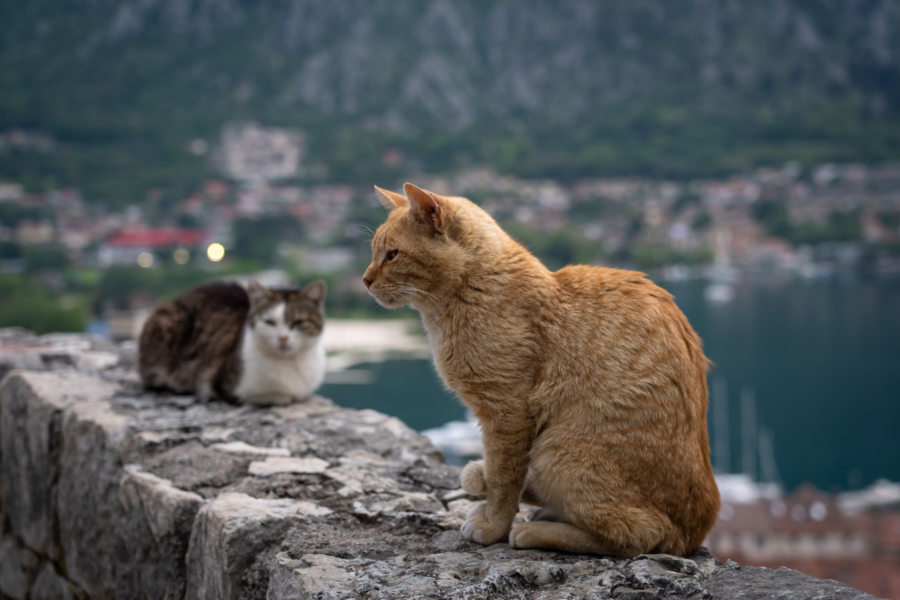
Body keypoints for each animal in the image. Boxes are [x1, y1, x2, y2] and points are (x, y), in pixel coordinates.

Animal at [139, 280, 326, 404]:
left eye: (298, 322)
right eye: (269, 322)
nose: (283, 337)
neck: (291, 364)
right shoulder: (225, 385)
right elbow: (279, 397)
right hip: (167, 320)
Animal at [362, 184, 720, 556]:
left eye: (393, 255)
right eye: (375, 253)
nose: (365, 279)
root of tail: (693, 534)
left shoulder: (506, 412)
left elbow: (504, 479)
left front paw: (493, 525)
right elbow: (504, 475)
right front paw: (487, 493)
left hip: (559, 452)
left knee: (637, 535)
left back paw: (535, 530)